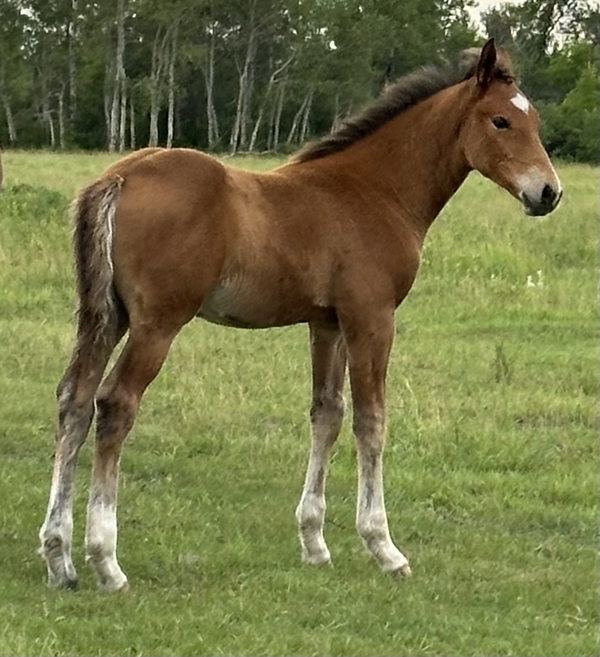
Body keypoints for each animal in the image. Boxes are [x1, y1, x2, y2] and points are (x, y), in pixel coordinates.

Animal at [39, 39, 562, 591]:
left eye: (535, 120)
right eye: (501, 121)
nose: (548, 193)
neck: (375, 191)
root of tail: (118, 176)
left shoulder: (326, 322)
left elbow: (326, 414)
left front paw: (314, 543)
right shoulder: (371, 316)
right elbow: (371, 420)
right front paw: (384, 547)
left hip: (106, 315)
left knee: (74, 400)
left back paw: (60, 558)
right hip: (157, 323)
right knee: (115, 404)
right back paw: (106, 560)